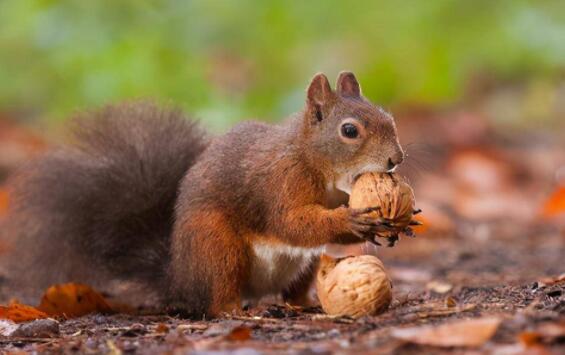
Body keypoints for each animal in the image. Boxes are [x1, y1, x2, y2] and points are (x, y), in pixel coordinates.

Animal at [2, 71, 404, 318]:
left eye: (389, 118)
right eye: (349, 131)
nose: (396, 160)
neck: (313, 159)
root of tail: (178, 277)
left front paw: (390, 227)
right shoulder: (280, 182)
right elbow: (290, 222)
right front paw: (351, 220)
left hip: (301, 265)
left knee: (293, 291)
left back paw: (306, 304)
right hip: (216, 246)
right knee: (218, 296)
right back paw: (238, 311)